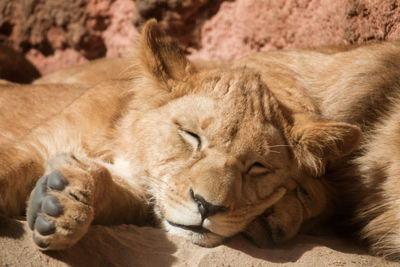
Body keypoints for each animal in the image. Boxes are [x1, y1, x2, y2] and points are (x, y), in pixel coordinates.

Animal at [0, 19, 360, 252]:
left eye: (257, 167)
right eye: (191, 136)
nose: (207, 207)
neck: (121, 142)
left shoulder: (138, 193)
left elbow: (106, 187)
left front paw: (61, 206)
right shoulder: (37, 145)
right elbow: (8, 167)